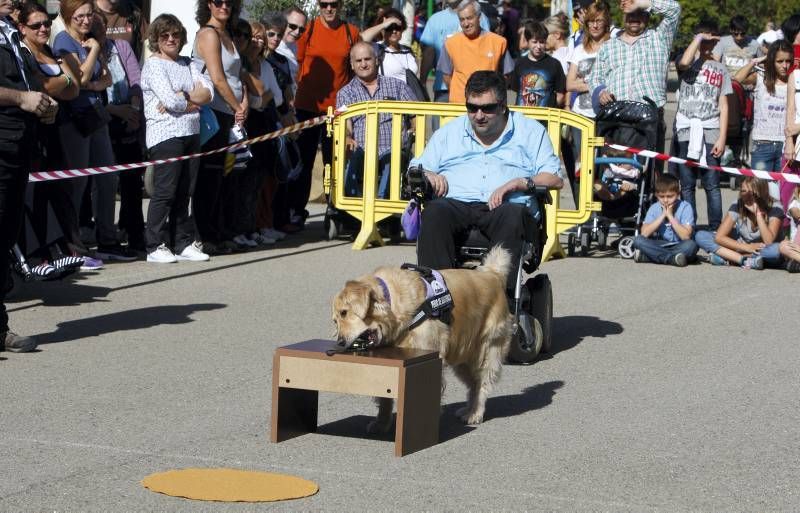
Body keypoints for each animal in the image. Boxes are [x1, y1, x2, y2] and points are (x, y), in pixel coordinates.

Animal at [332, 246, 512, 430]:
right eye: (335, 321)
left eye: (344, 313)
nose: (340, 342)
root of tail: (492, 273)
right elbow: (385, 396)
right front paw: (382, 423)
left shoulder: (428, 356)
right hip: (462, 354)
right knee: (473, 384)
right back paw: (468, 410)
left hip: (485, 350)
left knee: (482, 383)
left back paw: (475, 412)